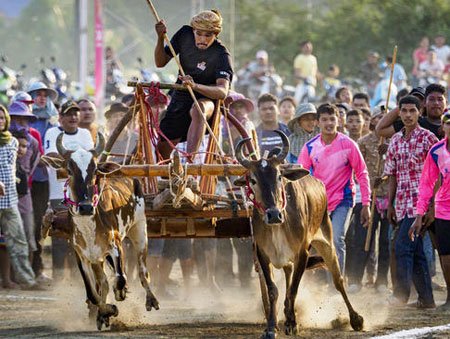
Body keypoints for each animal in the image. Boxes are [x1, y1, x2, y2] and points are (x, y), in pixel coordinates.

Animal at [47, 134, 159, 330]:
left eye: (94, 171)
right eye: (69, 170)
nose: (85, 207)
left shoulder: (116, 246)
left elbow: (121, 279)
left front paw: (119, 294)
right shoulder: (82, 255)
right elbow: (93, 293)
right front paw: (106, 311)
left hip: (139, 230)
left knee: (142, 271)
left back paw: (150, 299)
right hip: (98, 257)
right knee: (103, 282)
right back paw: (101, 314)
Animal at [234, 130, 364, 339]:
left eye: (279, 177)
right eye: (252, 180)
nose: (273, 215)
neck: (279, 225)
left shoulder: (302, 253)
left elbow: (293, 289)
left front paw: (292, 324)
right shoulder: (262, 254)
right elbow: (273, 290)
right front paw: (271, 327)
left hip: (327, 243)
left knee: (338, 281)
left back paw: (355, 319)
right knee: (287, 277)